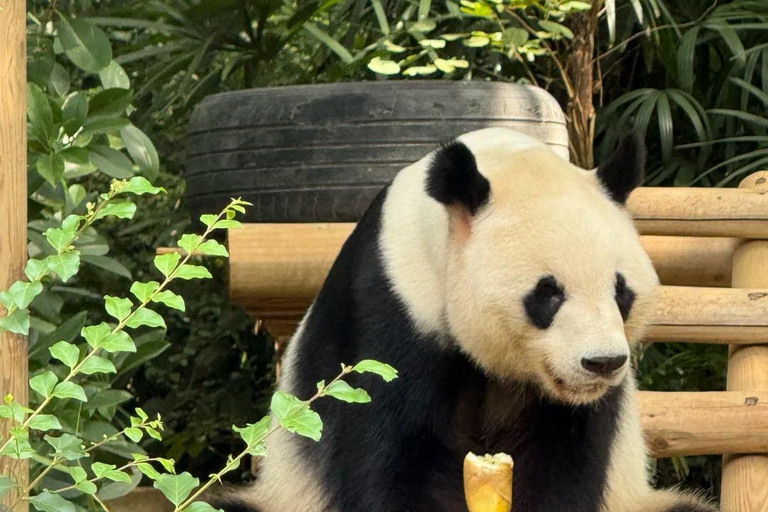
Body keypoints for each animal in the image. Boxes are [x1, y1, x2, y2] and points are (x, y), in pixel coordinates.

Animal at [213, 128, 716, 512]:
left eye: (620, 291)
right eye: (547, 293)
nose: (602, 363)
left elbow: (566, 466)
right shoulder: (391, 310)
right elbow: (388, 458)